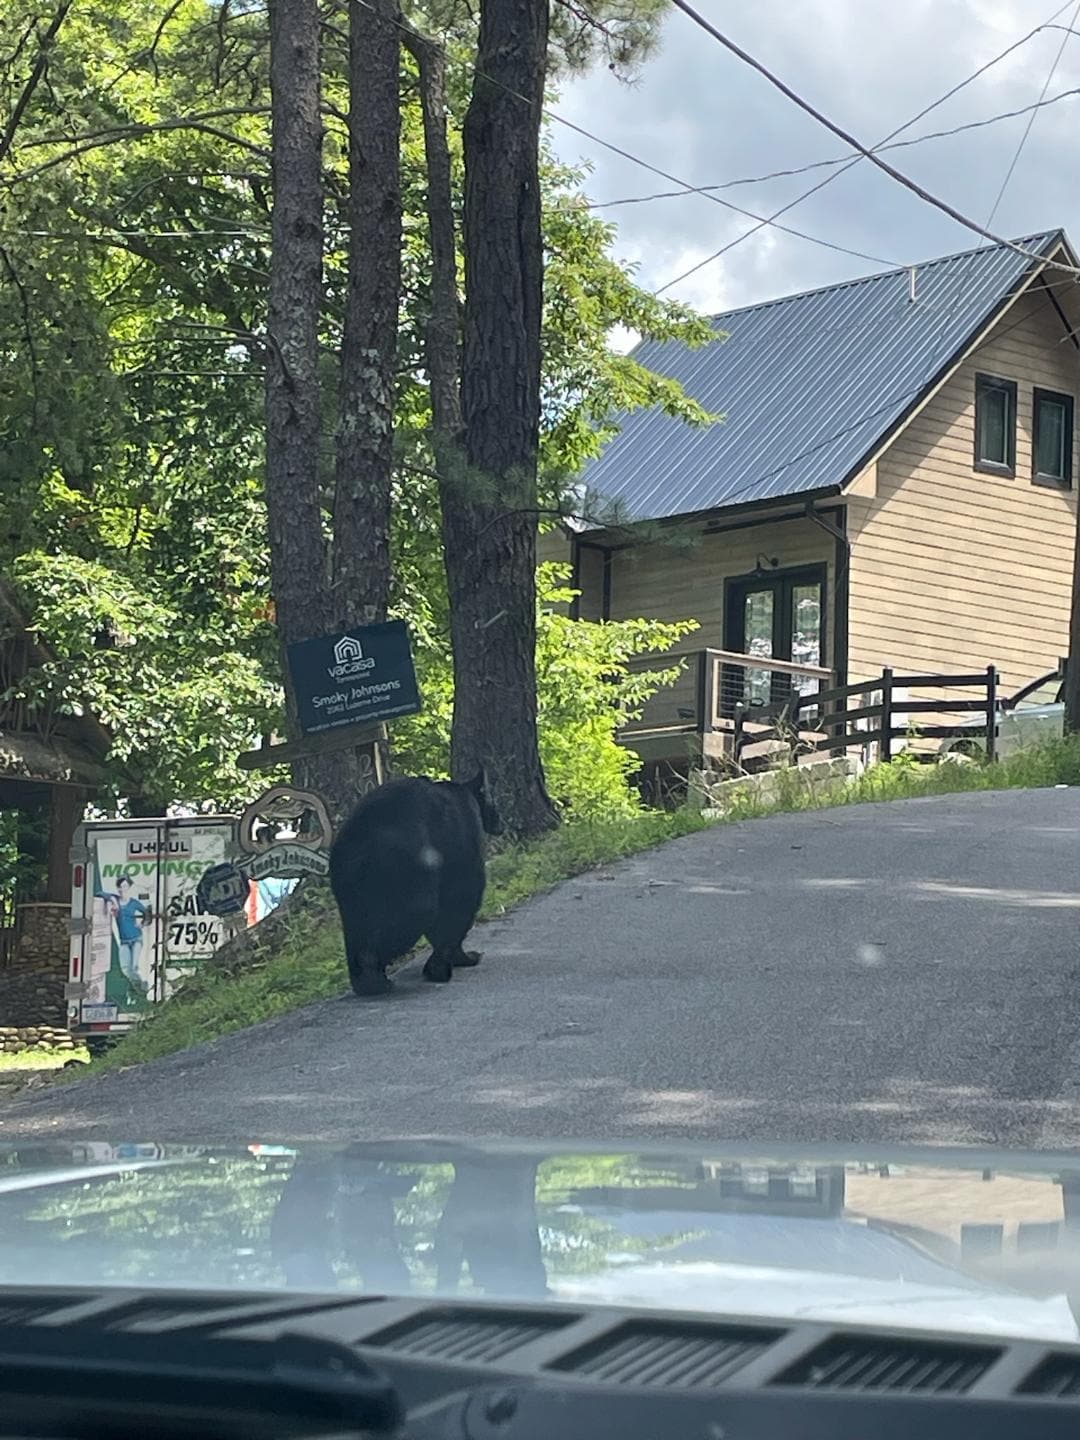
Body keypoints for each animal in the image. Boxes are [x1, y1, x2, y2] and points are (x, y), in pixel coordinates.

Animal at [329, 770, 503, 997]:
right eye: (495, 801)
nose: (501, 822)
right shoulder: (463, 846)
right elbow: (461, 900)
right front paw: (456, 960)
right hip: (410, 867)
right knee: (416, 912)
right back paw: (374, 971)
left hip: (347, 878)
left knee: (355, 922)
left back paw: (365, 980)